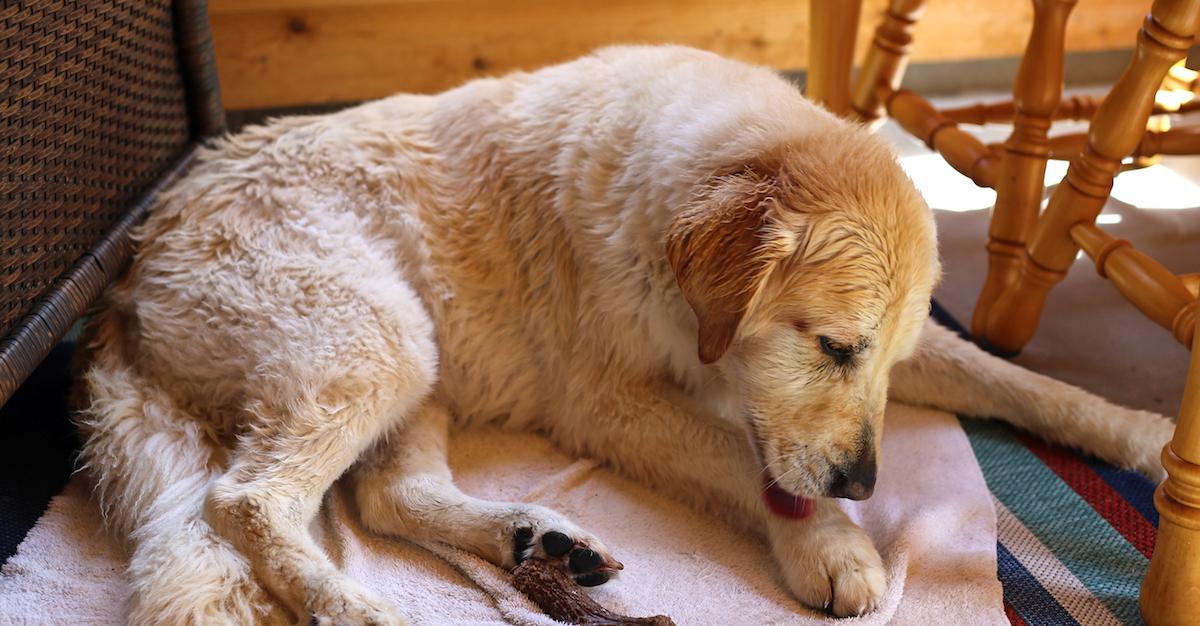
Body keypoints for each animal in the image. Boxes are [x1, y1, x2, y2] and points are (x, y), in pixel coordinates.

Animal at [79, 43, 1176, 618]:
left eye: (883, 359)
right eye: (834, 346)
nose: (867, 485)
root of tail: (133, 260)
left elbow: (1011, 379)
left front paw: (1140, 431)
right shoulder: (614, 404)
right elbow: (746, 464)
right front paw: (831, 543)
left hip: (416, 360)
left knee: (388, 496)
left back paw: (535, 538)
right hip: (374, 341)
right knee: (249, 500)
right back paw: (362, 605)